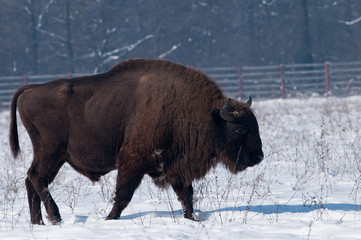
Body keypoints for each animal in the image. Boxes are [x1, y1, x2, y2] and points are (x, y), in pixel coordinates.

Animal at [8, 59, 262, 224]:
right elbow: (124, 194)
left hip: (53, 156)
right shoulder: (133, 162)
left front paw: (193, 220)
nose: (258, 157)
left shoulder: (176, 168)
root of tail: (31, 89)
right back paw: (55, 217)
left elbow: (186, 195)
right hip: (51, 152)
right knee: (36, 178)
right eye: (240, 129)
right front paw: (109, 219)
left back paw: (39, 222)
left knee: (32, 180)